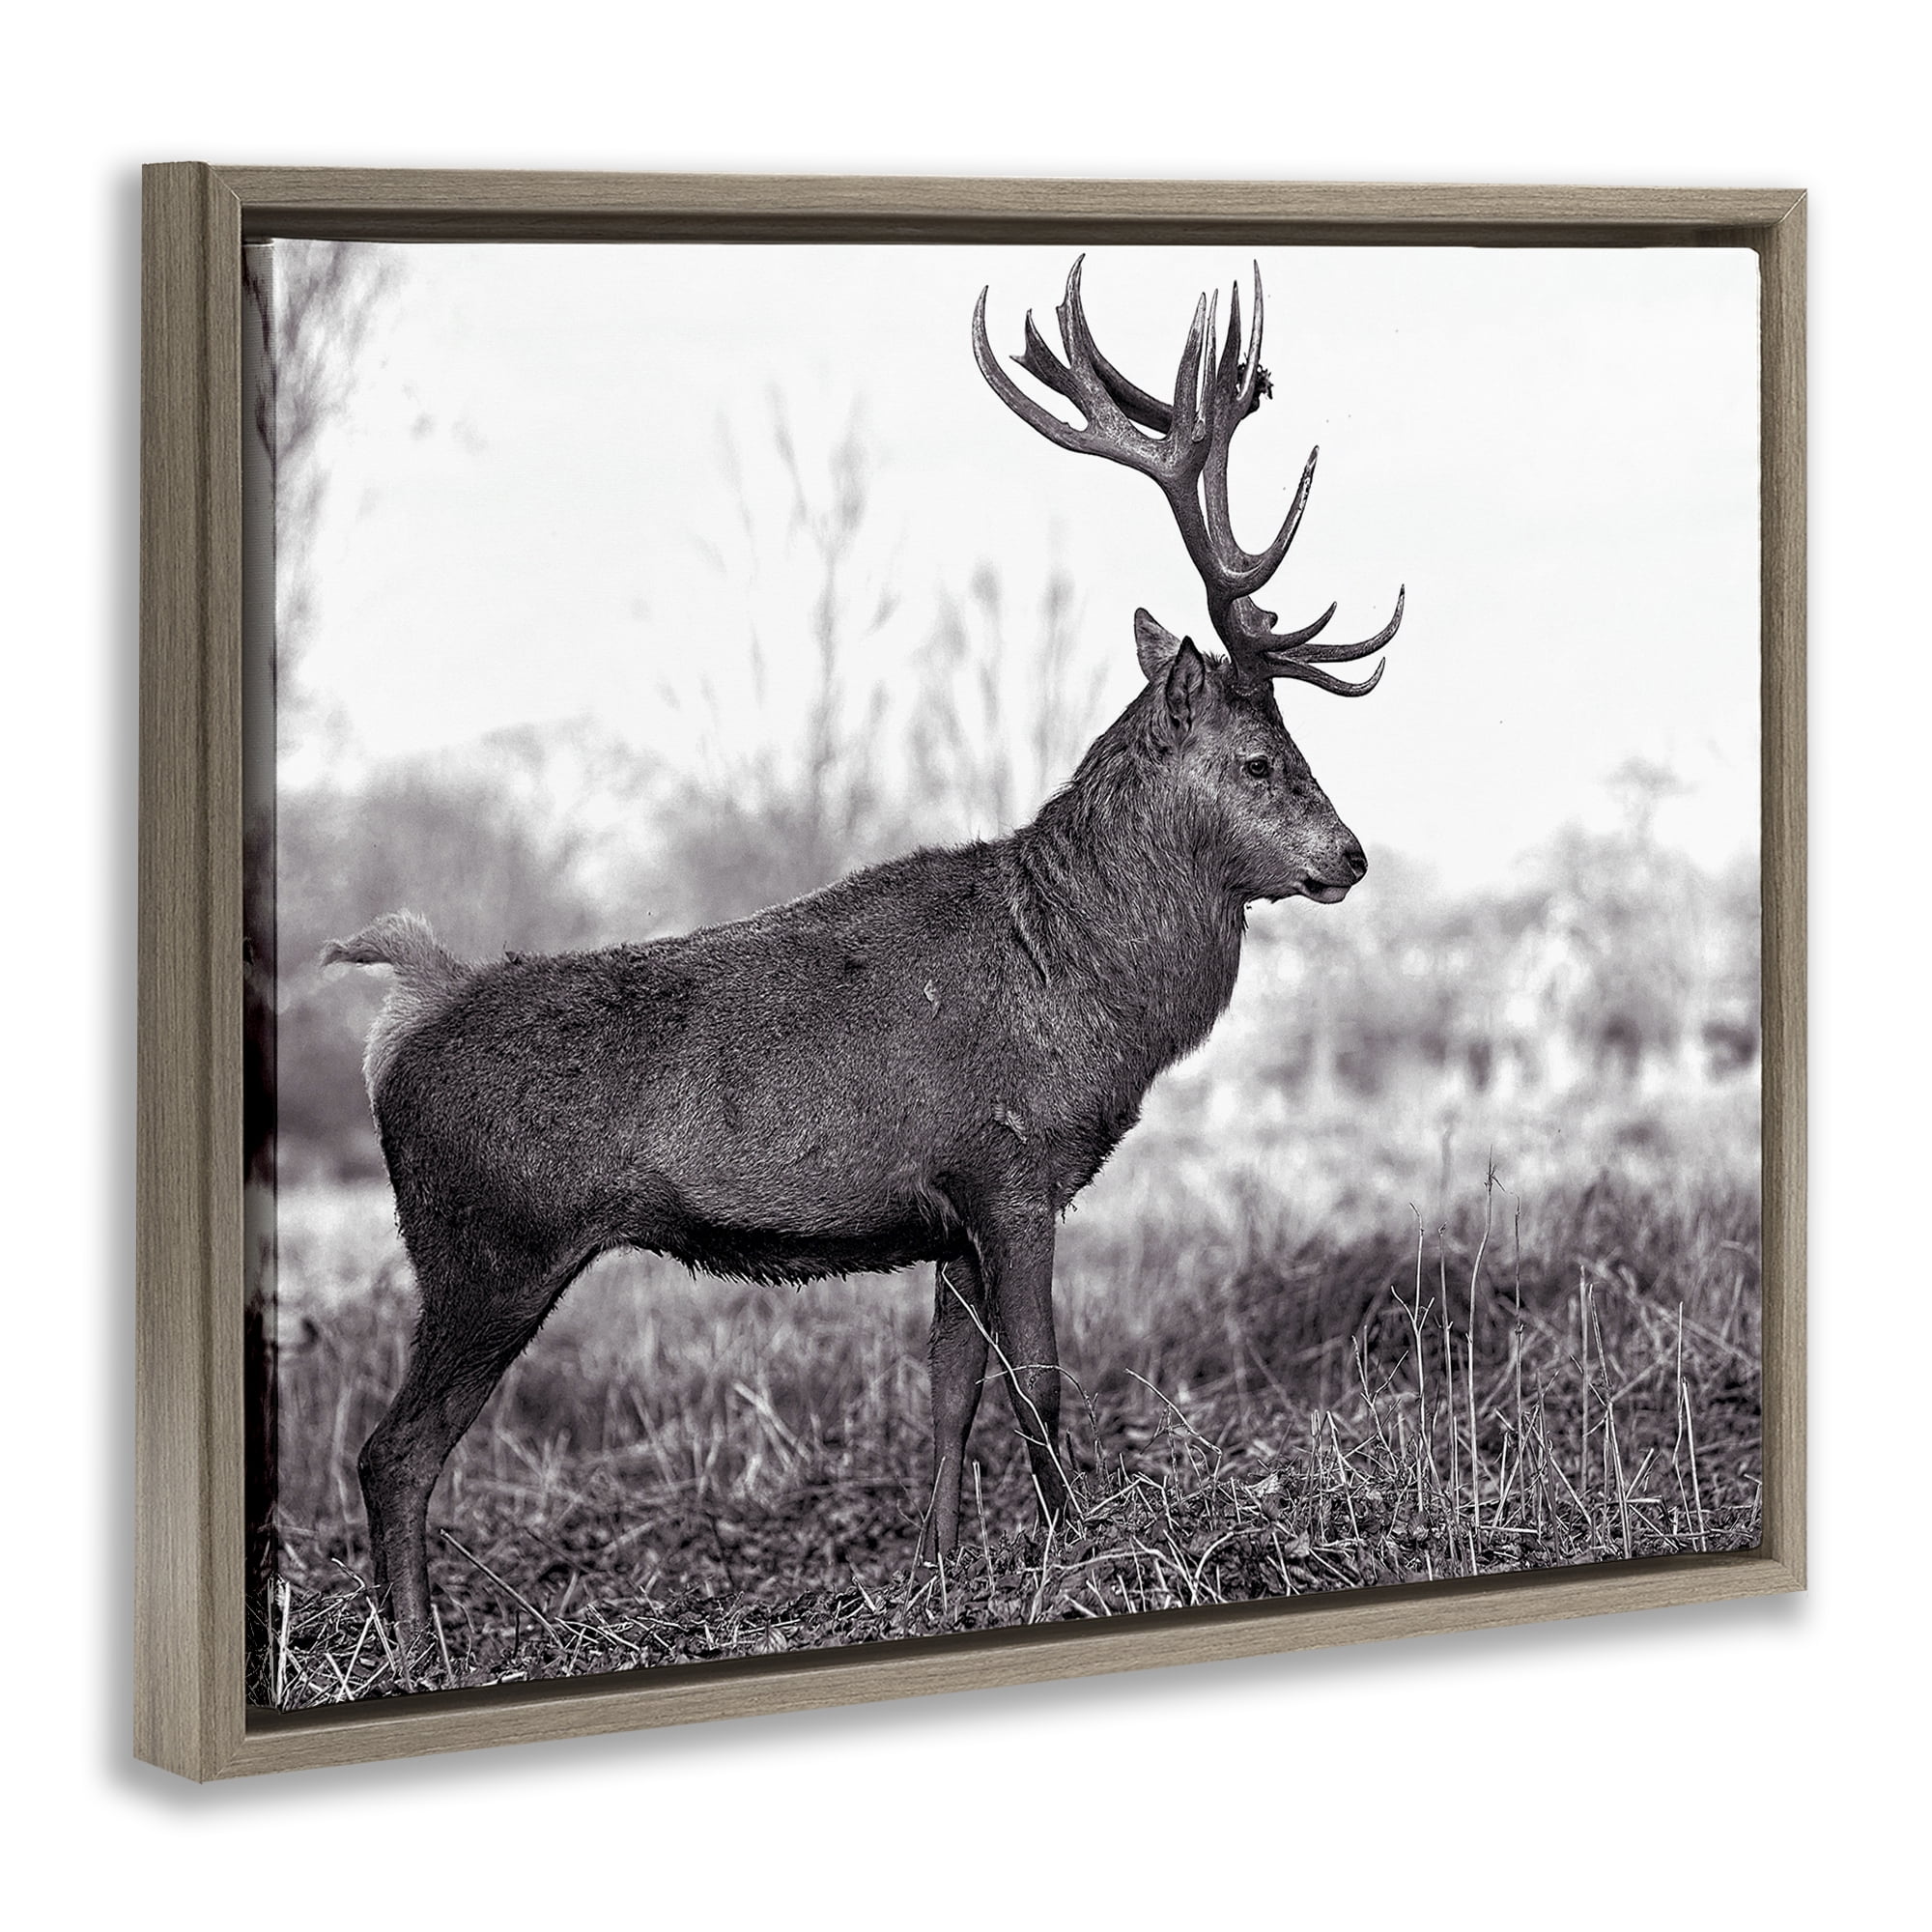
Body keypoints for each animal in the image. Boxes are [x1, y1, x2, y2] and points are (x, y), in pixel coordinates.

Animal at [323, 257, 1404, 1656]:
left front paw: (940, 1574)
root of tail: (400, 1018)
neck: (1084, 993)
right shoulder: (1009, 1167)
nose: (1350, 858)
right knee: (391, 1451)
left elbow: (946, 1390)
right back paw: (417, 1648)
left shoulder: (945, 1211)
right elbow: (1037, 1379)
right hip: (485, 1245)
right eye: (1263, 760)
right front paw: (1078, 1553)